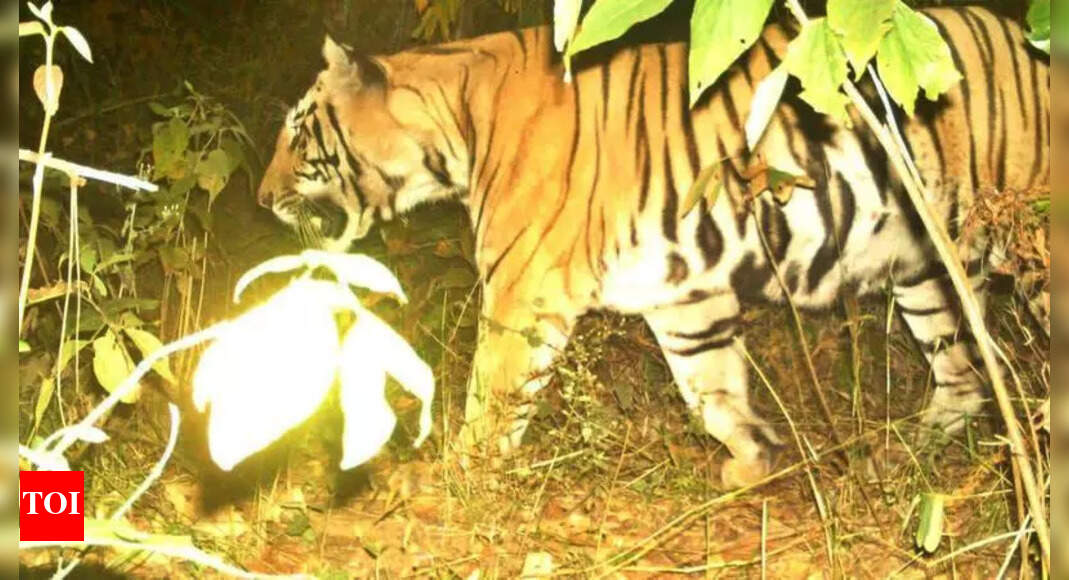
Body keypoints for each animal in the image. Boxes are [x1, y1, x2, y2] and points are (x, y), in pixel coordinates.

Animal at [256, 6, 1049, 488]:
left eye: (297, 133)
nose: (260, 200)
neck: (454, 128)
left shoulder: (521, 291)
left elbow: (491, 398)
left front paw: (454, 484)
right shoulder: (684, 298)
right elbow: (713, 393)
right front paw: (756, 462)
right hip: (924, 271)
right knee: (965, 375)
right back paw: (905, 453)